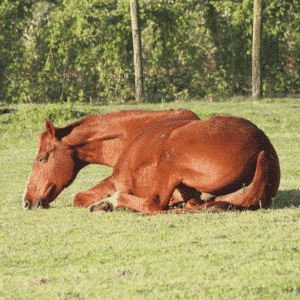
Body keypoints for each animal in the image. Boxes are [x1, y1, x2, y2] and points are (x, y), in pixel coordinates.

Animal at [22, 108, 280, 213]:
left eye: (42, 158)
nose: (26, 201)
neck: (133, 132)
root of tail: (262, 147)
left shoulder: (117, 180)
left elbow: (79, 198)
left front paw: (104, 201)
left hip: (170, 160)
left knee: (154, 205)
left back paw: (111, 203)